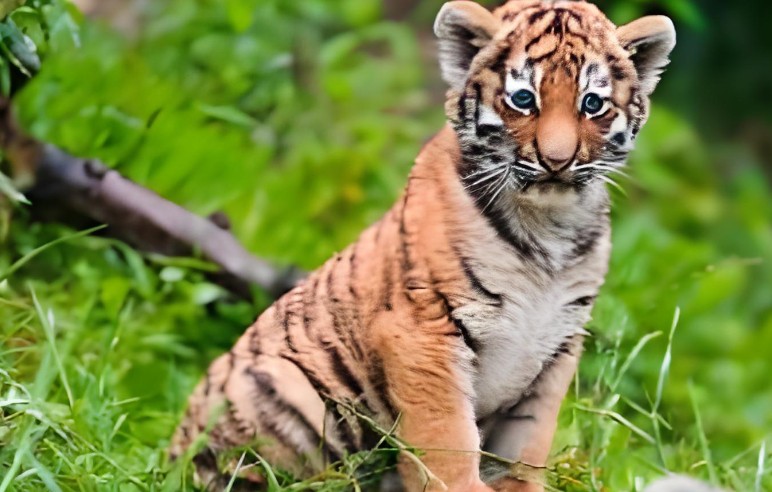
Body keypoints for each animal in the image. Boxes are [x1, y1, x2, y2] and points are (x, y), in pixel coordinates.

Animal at [170, 1, 675, 491]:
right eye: (523, 99)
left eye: (592, 104)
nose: (557, 161)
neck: (549, 225)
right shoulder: (424, 328)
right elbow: (447, 439)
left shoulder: (559, 344)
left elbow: (528, 442)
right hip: (288, 391)